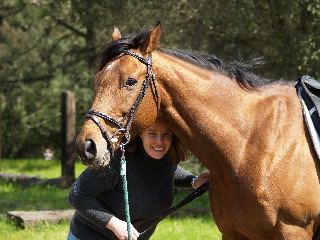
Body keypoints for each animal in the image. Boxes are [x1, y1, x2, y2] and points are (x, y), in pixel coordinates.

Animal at [75, 21, 320, 239]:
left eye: (130, 82)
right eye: (98, 79)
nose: (86, 146)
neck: (253, 145)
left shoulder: (293, 231)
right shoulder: (232, 233)